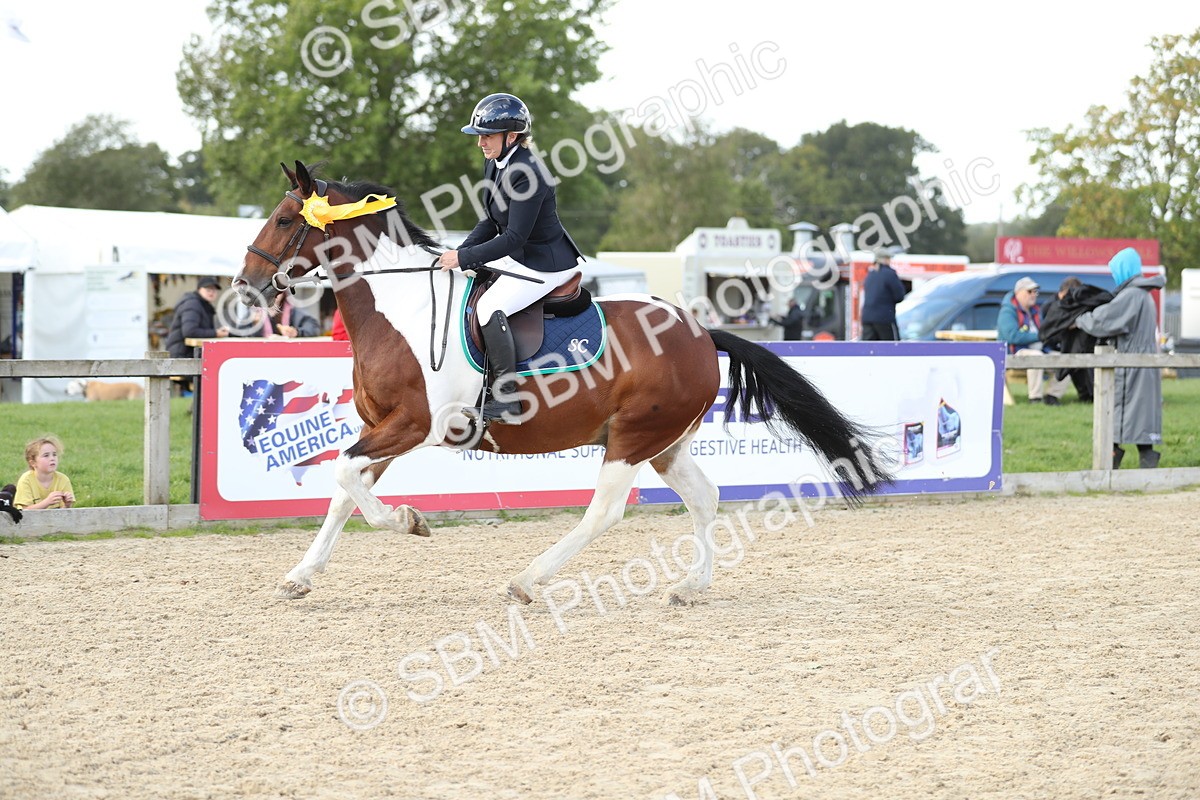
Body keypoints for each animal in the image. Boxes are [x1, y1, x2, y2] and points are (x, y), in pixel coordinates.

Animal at [235, 160, 893, 606]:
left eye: (285, 219)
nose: (244, 287)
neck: (400, 305)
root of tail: (702, 331)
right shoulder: (383, 428)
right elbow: (345, 490)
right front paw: (300, 576)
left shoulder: (415, 424)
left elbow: (348, 479)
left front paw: (410, 523)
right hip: (665, 443)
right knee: (703, 498)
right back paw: (690, 585)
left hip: (632, 437)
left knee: (604, 512)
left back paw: (528, 579)